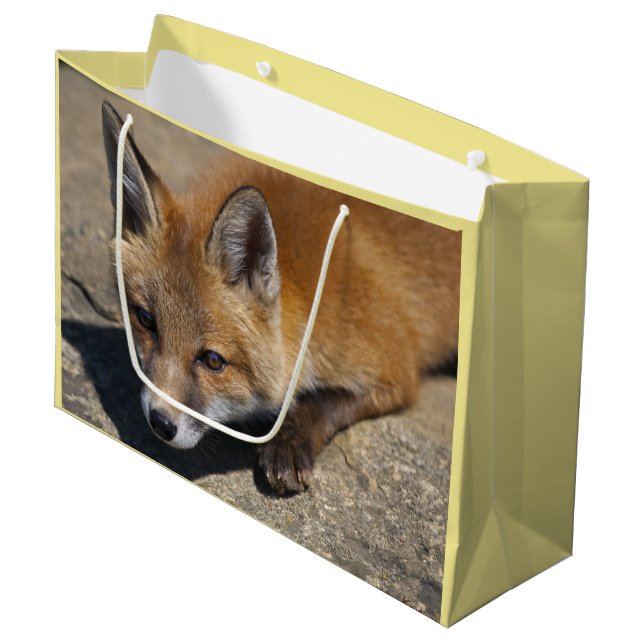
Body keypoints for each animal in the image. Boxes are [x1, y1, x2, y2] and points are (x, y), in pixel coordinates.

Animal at [102, 101, 462, 495]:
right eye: (145, 320)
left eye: (213, 361)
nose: (160, 423)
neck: (309, 291)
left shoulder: (395, 364)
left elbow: (321, 400)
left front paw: (289, 441)